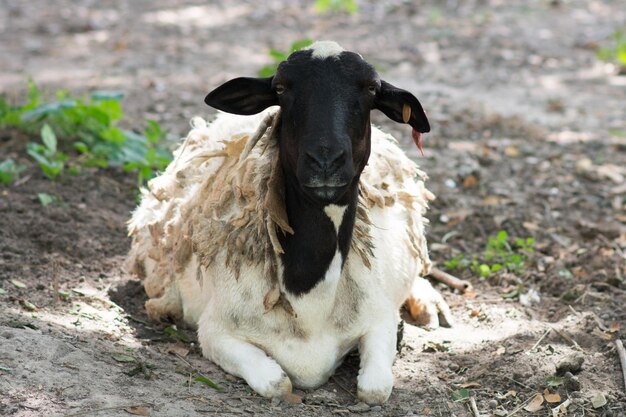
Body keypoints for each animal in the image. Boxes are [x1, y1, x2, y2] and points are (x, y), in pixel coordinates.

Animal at [127, 41, 448, 404]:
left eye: (371, 89)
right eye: (280, 88)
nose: (325, 160)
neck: (310, 300)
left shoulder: (379, 318)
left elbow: (374, 390)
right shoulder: (216, 333)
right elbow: (277, 383)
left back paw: (429, 305)